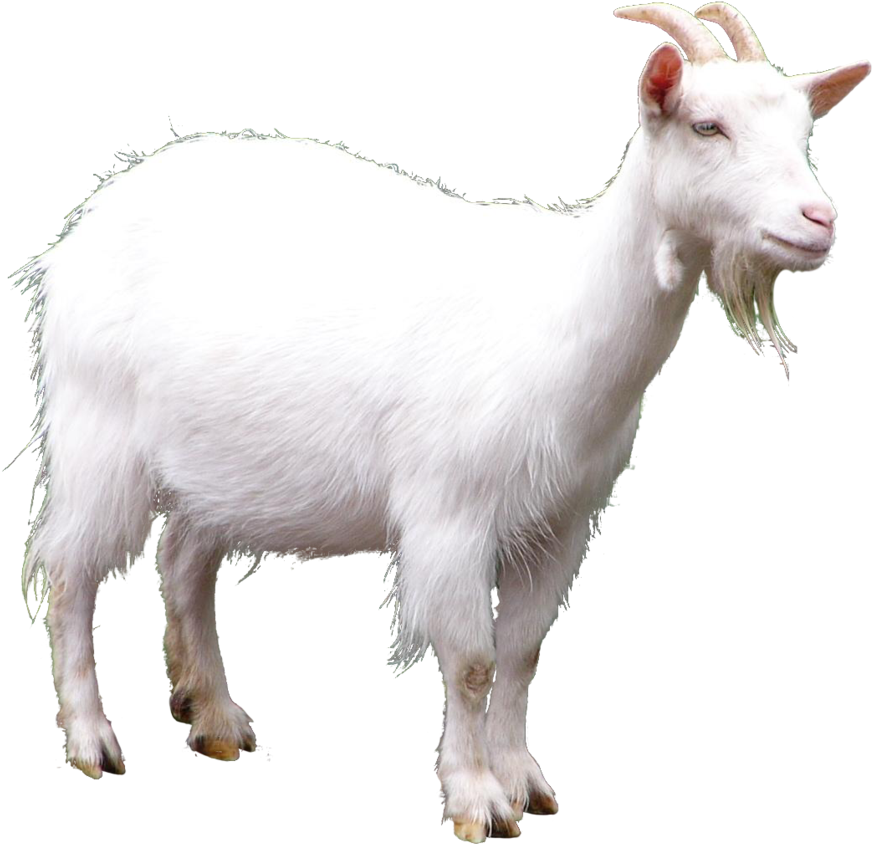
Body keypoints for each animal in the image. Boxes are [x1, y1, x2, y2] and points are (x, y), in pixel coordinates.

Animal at [15, 3, 868, 842]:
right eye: (704, 126)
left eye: (803, 133)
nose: (818, 221)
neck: (560, 311)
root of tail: (101, 206)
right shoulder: (451, 511)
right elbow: (471, 659)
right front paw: (473, 798)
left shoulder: (561, 521)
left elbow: (522, 652)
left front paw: (523, 781)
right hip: (97, 430)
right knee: (70, 571)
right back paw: (92, 740)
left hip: (215, 462)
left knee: (183, 562)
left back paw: (218, 719)